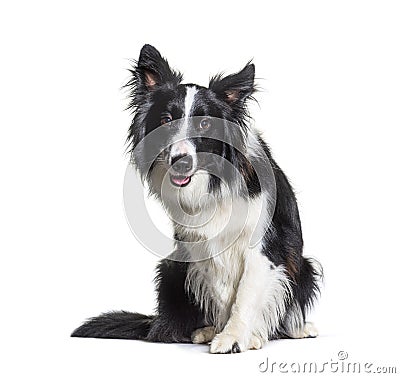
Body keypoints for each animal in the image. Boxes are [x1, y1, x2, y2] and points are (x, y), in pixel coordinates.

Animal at [72, 45, 322, 354]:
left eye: (205, 123)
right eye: (166, 120)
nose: (180, 161)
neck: (213, 179)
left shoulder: (264, 246)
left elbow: (245, 295)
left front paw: (236, 337)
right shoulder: (199, 244)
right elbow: (222, 292)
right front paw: (224, 332)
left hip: (305, 266)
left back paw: (296, 329)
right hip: (172, 266)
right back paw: (202, 330)